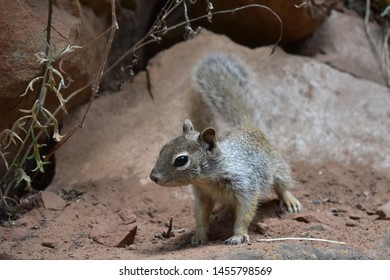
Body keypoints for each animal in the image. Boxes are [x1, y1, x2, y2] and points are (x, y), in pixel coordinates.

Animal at [149, 52, 302, 245]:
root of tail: (250, 127)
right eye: (163, 148)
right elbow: (201, 216)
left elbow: (245, 213)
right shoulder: (202, 196)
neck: (206, 179)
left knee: (282, 184)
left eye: (181, 160)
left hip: (278, 166)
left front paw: (238, 235)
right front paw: (199, 235)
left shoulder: (245, 186)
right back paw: (222, 213)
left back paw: (290, 199)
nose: (153, 177)